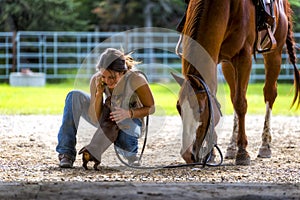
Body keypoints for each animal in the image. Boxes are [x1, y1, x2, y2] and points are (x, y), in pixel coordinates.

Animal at [175, 0, 298, 165]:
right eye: (178, 108)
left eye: (200, 110)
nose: (188, 155)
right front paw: (212, 153)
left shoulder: (243, 56)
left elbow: (241, 103)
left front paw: (243, 152)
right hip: (228, 64)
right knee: (234, 96)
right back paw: (232, 147)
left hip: (275, 53)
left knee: (269, 93)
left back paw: (265, 145)